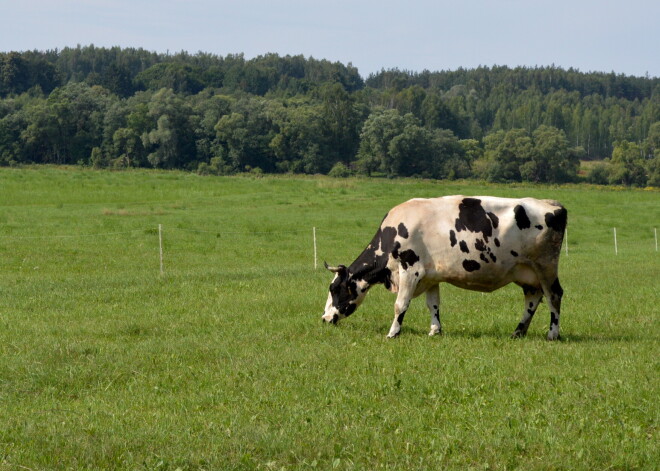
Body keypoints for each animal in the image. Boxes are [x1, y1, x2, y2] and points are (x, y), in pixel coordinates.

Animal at [320, 195, 568, 340]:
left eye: (334, 289)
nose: (324, 318)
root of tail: (553, 204)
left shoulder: (410, 269)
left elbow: (400, 305)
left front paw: (393, 333)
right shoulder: (431, 276)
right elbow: (433, 305)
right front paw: (435, 330)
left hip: (545, 266)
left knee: (554, 295)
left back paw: (552, 333)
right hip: (526, 272)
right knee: (532, 298)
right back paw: (518, 331)